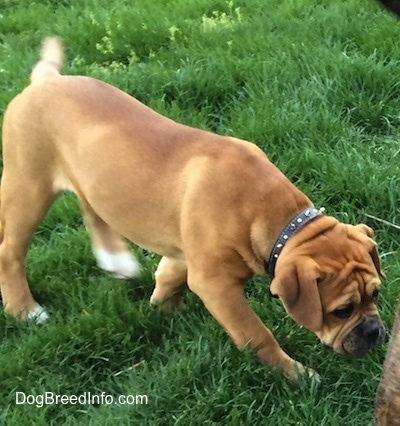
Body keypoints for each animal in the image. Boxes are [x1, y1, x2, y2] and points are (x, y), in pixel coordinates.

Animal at [0, 39, 388, 380]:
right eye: (341, 310)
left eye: (376, 293)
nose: (373, 331)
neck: (275, 219)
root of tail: (45, 81)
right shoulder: (216, 285)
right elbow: (255, 333)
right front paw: (295, 375)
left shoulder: (189, 255)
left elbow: (170, 274)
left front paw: (164, 307)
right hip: (28, 186)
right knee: (10, 251)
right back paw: (25, 311)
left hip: (88, 177)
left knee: (92, 207)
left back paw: (116, 260)